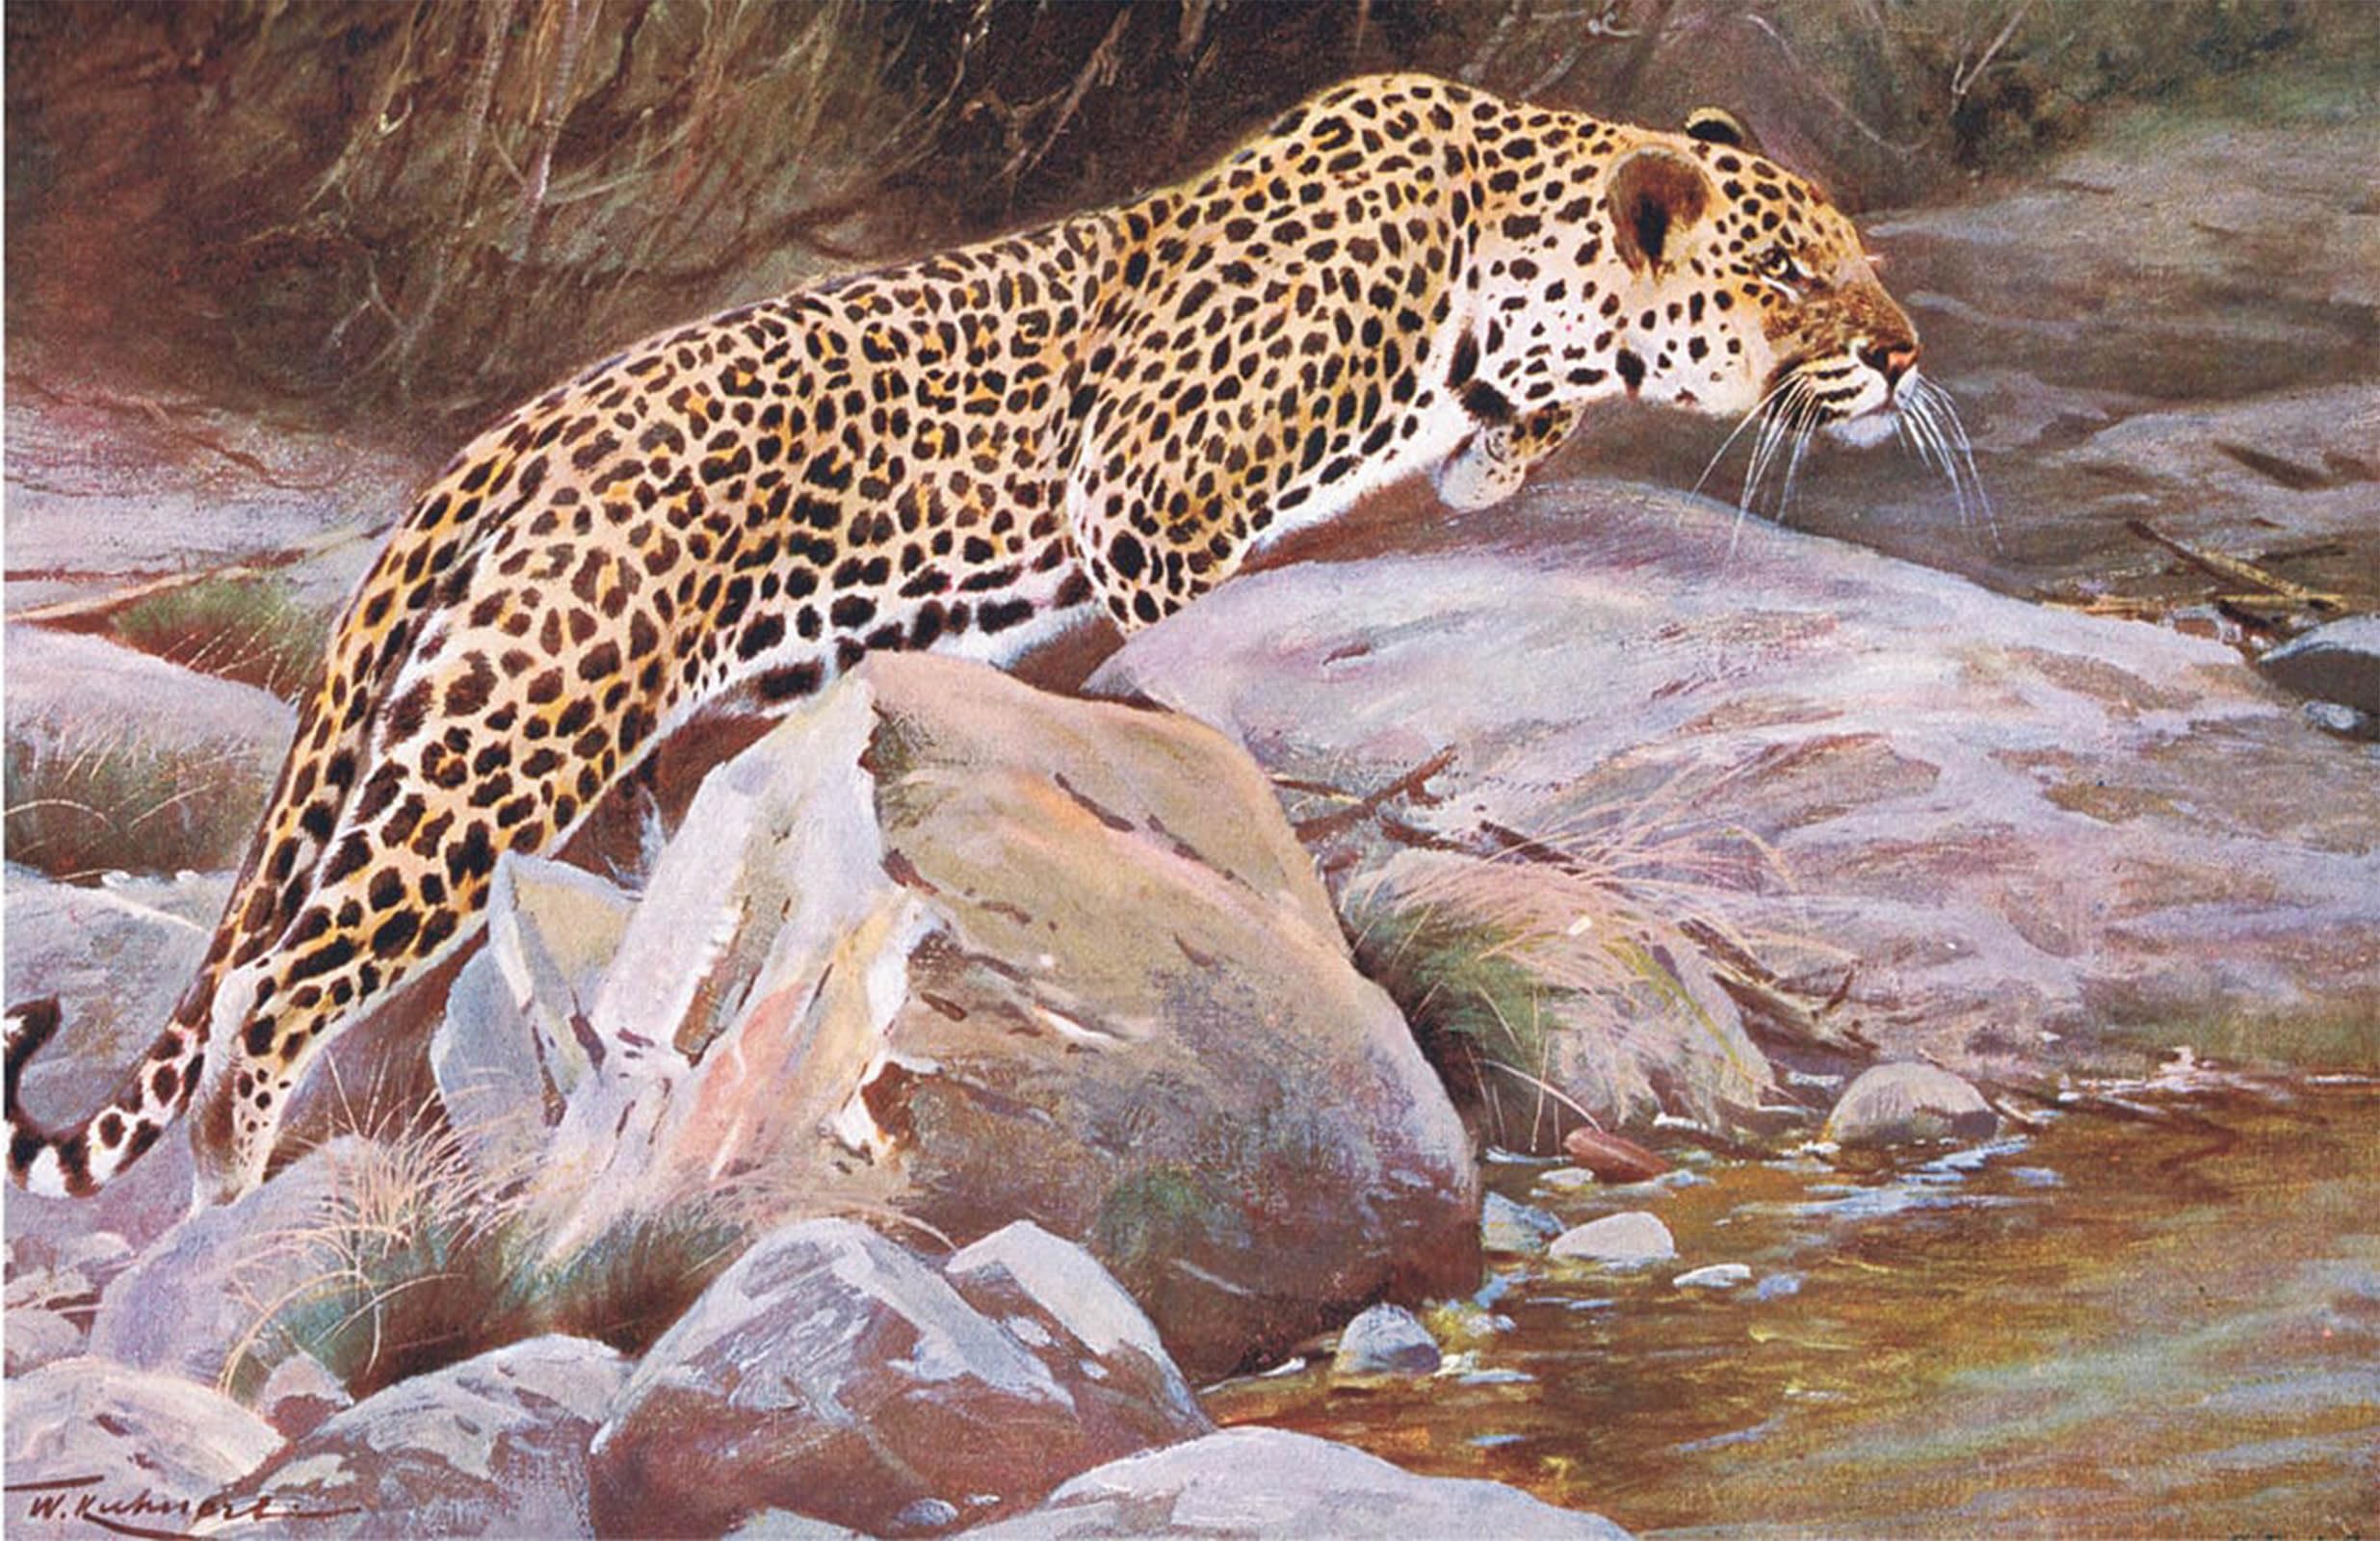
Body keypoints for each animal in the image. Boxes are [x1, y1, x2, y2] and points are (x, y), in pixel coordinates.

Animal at [8, 71, 1930, 1208]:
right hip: (508, 732)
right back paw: (240, 1189)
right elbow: (1204, 606)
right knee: (275, 984)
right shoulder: (1151, 504)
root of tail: (519, 431)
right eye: (1801, 277)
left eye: (1862, 259)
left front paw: (1502, 458)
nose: (1905, 353)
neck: (1504, 260)